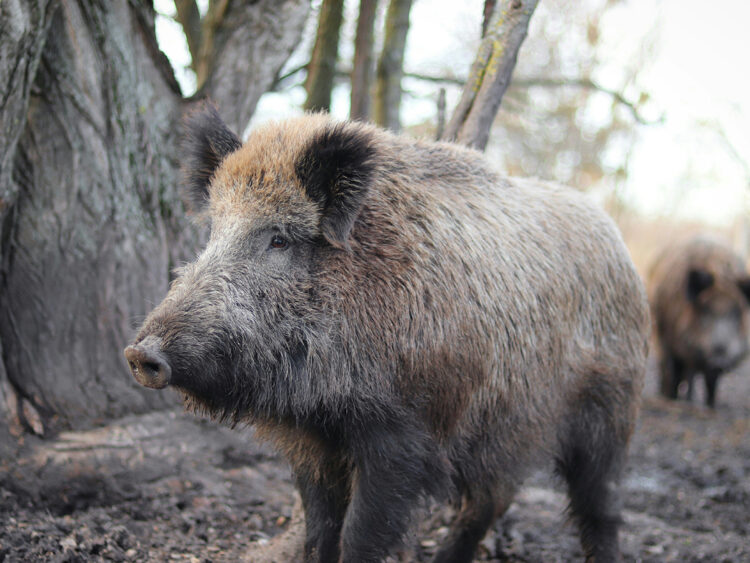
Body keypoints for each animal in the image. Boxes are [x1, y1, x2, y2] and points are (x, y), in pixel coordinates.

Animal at [124, 103, 650, 562]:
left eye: (279, 238)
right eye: (214, 231)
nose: (140, 353)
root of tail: (621, 246)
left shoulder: (403, 433)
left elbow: (360, 535)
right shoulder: (311, 441)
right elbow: (320, 531)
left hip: (611, 411)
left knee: (600, 509)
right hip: (508, 426)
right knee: (491, 499)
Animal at [649, 236, 750, 408]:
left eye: (736, 313)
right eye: (705, 310)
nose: (718, 361)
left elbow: (710, 382)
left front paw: (710, 405)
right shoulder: (672, 339)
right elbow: (675, 370)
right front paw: (676, 399)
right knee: (669, 368)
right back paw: (668, 396)